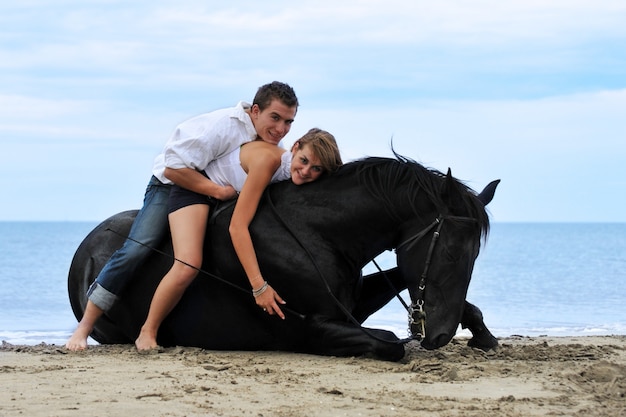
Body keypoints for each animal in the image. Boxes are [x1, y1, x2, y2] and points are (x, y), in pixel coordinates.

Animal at [68, 154, 498, 360]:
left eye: (475, 256)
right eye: (450, 252)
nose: (439, 336)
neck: (314, 231)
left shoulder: (352, 302)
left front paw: (483, 335)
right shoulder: (310, 328)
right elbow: (391, 342)